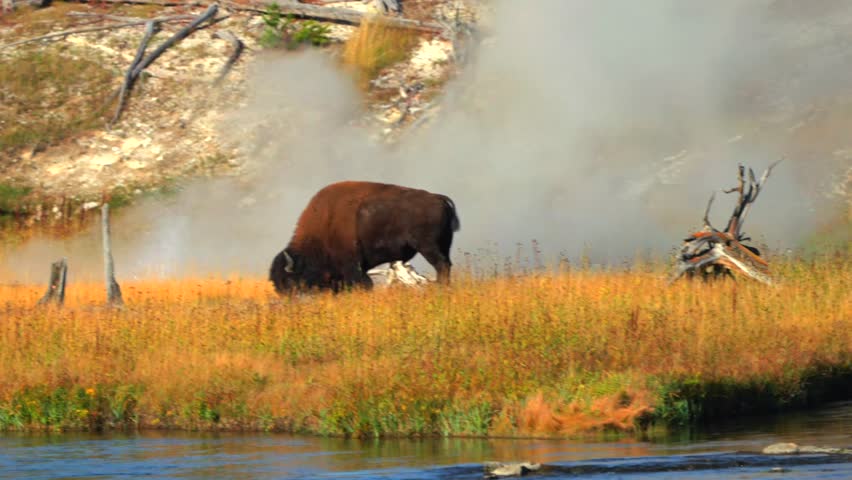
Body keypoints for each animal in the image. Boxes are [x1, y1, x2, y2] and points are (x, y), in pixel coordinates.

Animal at [269, 181, 460, 293]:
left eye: (289, 280)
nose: (288, 300)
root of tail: (438, 198)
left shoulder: (353, 266)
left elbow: (364, 283)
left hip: (428, 247)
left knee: (441, 266)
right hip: (444, 245)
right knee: (446, 265)